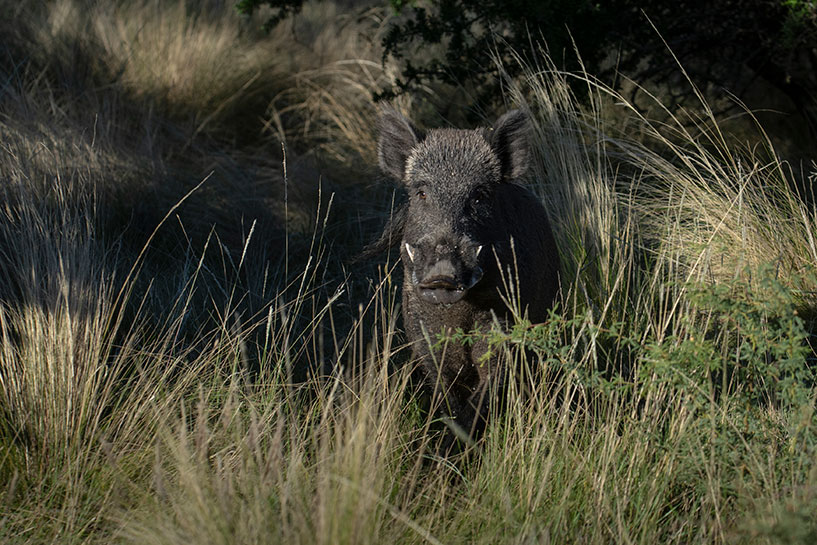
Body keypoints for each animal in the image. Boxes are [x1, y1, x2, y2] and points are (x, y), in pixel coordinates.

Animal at [370, 106, 560, 451]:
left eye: (479, 196)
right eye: (421, 193)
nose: (442, 272)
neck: (459, 316)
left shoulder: (504, 332)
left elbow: (481, 399)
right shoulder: (425, 341)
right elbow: (448, 400)